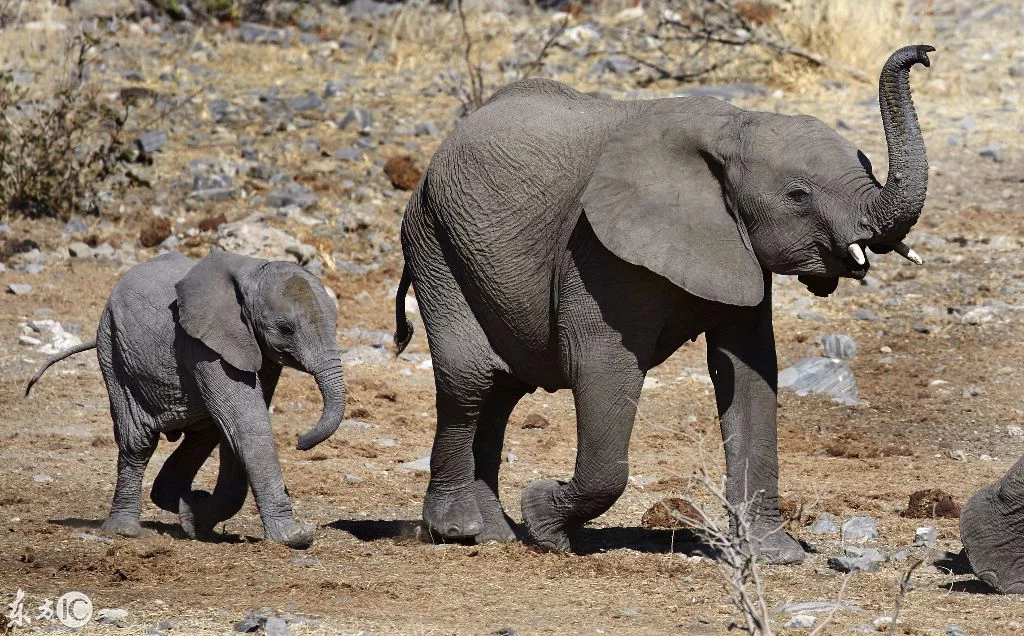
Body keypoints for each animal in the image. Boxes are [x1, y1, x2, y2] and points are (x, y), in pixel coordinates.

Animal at [23, 250, 344, 548]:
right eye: (285, 329)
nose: (300, 442)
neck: (252, 270)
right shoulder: (203, 344)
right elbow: (246, 422)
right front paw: (295, 537)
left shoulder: (256, 349)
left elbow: (238, 427)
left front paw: (192, 520)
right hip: (113, 348)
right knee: (137, 441)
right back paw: (125, 530)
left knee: (205, 433)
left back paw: (175, 502)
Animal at [393, 45, 937, 561]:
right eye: (798, 194)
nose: (925, 53)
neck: (733, 127)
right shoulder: (598, 250)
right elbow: (600, 364)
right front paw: (545, 523)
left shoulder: (734, 245)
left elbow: (750, 371)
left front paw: (774, 556)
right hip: (433, 239)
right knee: (470, 379)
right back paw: (457, 530)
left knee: (501, 389)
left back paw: (495, 535)